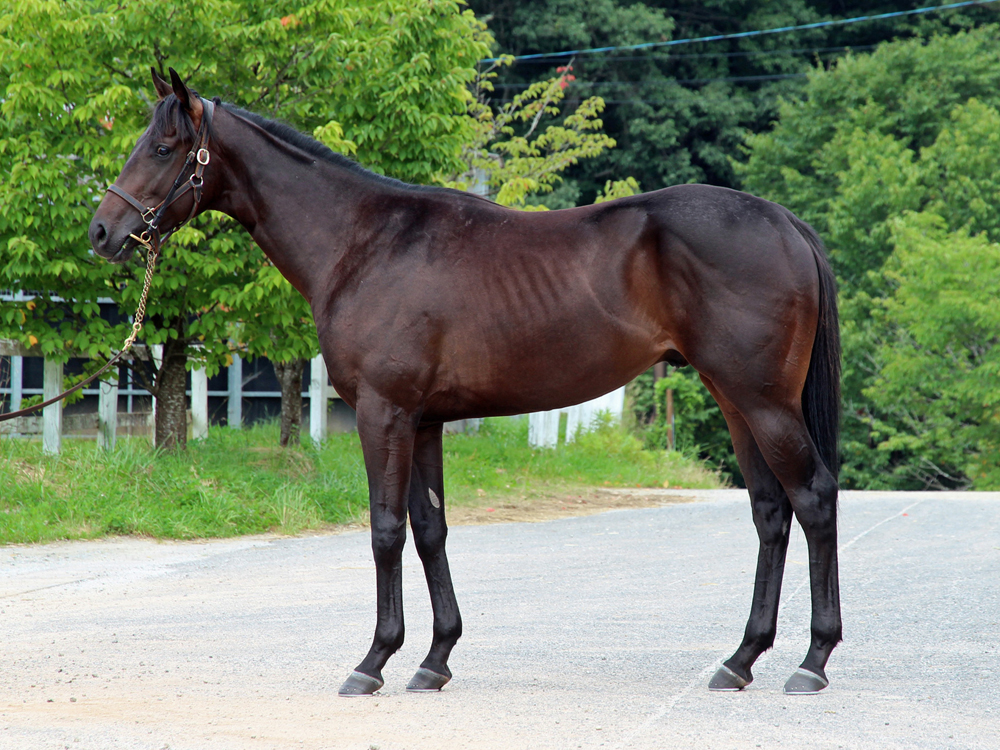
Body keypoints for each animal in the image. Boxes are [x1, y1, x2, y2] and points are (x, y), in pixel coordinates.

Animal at [89, 68, 842, 697]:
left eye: (164, 147)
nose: (102, 231)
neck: (363, 243)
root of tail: (785, 222)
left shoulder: (383, 414)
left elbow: (386, 530)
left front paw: (373, 662)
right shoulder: (423, 421)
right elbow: (431, 529)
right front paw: (434, 660)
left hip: (762, 402)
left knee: (813, 498)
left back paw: (812, 661)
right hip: (735, 401)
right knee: (770, 513)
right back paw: (740, 660)